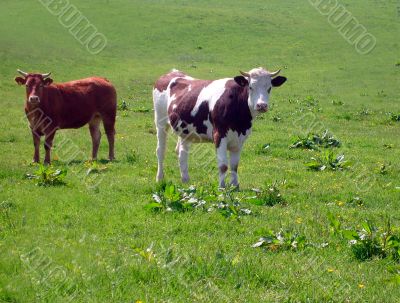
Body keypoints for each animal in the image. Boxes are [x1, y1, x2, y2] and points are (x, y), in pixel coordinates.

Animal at [153, 67, 288, 188]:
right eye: (250, 87)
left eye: (269, 88)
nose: (262, 105)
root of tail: (172, 72)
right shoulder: (219, 135)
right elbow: (223, 165)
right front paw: (222, 188)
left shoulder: (240, 138)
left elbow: (234, 165)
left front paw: (235, 186)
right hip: (160, 122)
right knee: (160, 151)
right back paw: (159, 178)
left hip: (185, 130)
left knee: (182, 153)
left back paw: (185, 180)